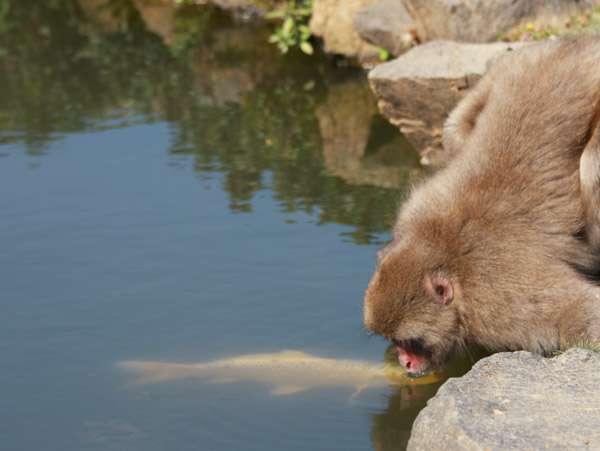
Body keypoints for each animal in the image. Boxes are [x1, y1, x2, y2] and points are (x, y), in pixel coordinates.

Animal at [364, 35, 600, 376]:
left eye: (411, 342)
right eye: (394, 341)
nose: (404, 362)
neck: (443, 250)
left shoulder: (504, 301)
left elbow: (584, 315)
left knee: (591, 168)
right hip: (506, 68)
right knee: (453, 133)